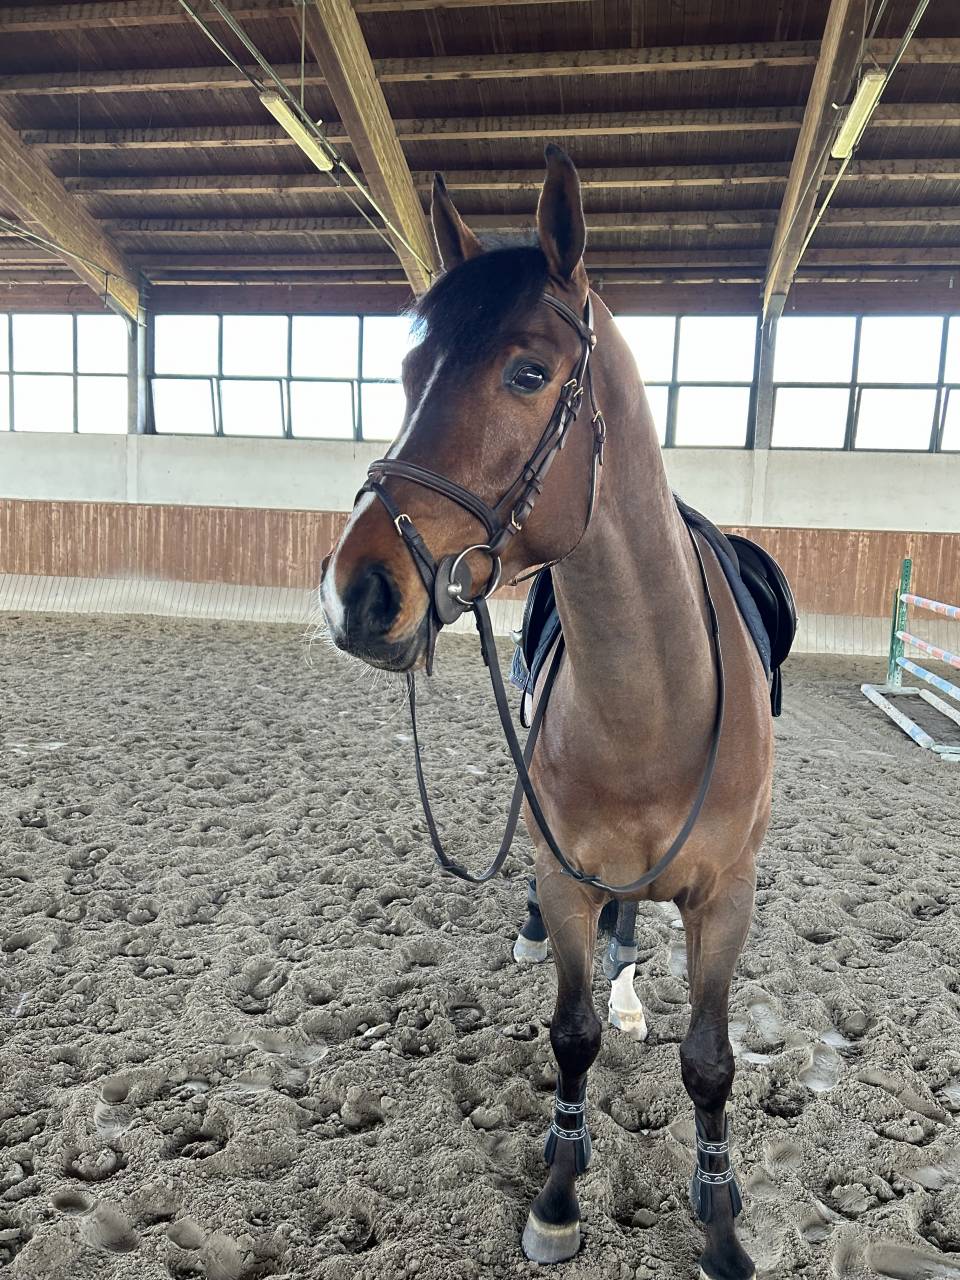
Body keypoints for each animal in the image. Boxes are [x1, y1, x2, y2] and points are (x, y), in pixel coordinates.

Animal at [320, 146, 774, 1280]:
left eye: (528, 373)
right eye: (408, 375)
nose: (359, 592)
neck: (653, 700)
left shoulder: (727, 896)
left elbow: (711, 1060)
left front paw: (720, 1216)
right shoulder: (566, 875)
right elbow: (569, 1035)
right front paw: (561, 1192)